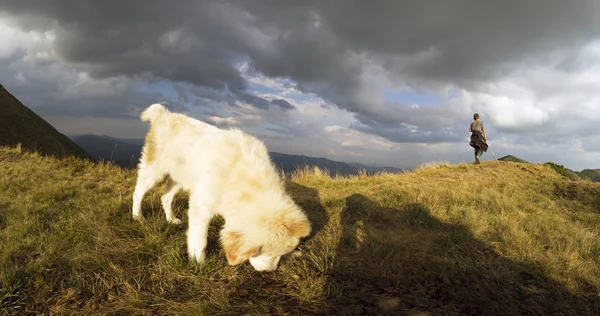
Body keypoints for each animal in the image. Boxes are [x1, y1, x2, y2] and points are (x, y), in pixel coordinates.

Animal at [130, 103, 310, 272]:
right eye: (264, 252)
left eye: (281, 254)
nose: (270, 271)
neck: (240, 174)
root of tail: (164, 114)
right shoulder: (200, 207)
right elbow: (199, 238)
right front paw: (199, 263)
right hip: (154, 171)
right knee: (138, 192)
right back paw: (137, 216)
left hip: (179, 178)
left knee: (165, 197)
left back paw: (171, 220)